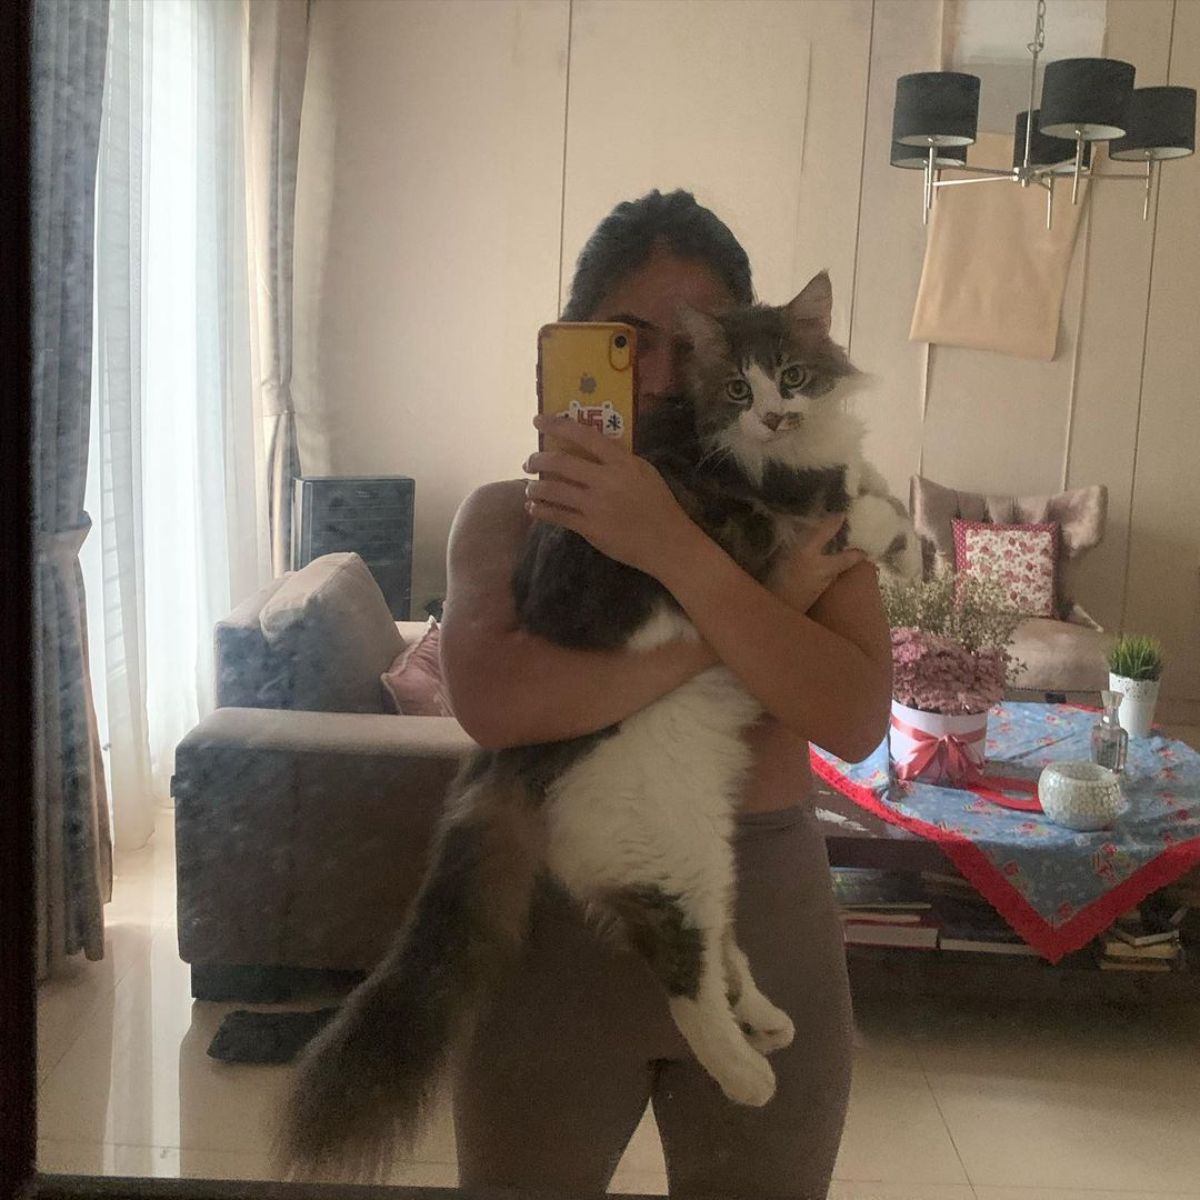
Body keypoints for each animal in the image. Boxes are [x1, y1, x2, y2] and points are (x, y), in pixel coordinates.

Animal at [278, 272, 916, 1180]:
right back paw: (746, 1073)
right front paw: (902, 543)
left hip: (705, 849)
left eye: (790, 376)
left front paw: (910, 549)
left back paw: (765, 1019)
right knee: (686, 982)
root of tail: (519, 762)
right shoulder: (780, 538)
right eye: (738, 388)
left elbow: (876, 487)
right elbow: (860, 514)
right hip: (673, 852)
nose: (770, 417)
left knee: (724, 949)